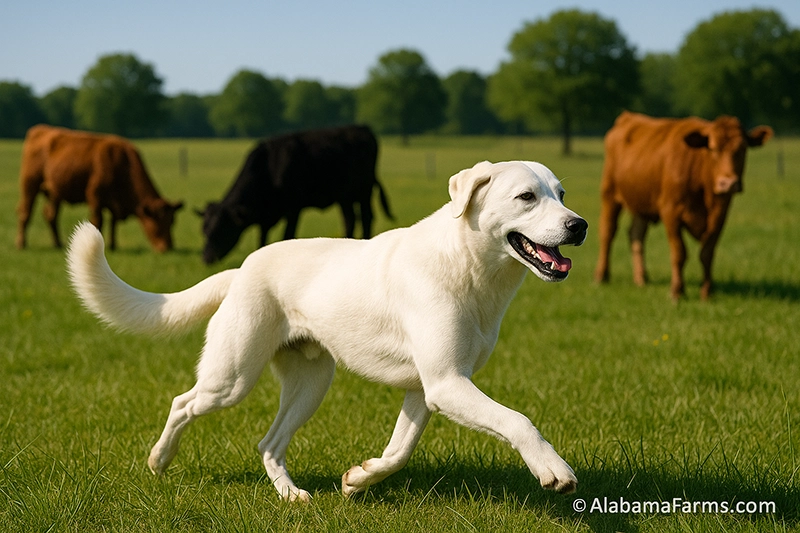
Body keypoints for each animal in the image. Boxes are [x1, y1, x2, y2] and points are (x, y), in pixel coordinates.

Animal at [16, 125, 183, 252]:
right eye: (157, 222)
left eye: (172, 222)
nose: (167, 247)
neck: (122, 162)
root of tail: (40, 129)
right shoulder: (94, 196)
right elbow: (98, 221)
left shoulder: (114, 203)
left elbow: (113, 223)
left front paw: (113, 245)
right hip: (29, 186)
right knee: (25, 213)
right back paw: (21, 244)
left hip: (54, 193)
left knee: (51, 215)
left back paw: (57, 244)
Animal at [199, 125, 392, 264]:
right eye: (204, 230)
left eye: (221, 230)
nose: (206, 259)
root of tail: (362, 128)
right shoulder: (265, 217)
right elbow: (262, 238)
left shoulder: (293, 208)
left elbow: (287, 235)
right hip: (346, 197)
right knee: (351, 219)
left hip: (363, 191)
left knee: (365, 217)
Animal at [594, 111, 772, 300]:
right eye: (713, 148)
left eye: (743, 148)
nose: (728, 183)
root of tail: (628, 116)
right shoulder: (671, 212)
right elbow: (680, 253)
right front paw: (677, 291)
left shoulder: (720, 215)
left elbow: (707, 253)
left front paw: (707, 292)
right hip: (610, 194)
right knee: (607, 232)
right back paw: (601, 276)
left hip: (641, 202)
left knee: (636, 235)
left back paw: (641, 278)